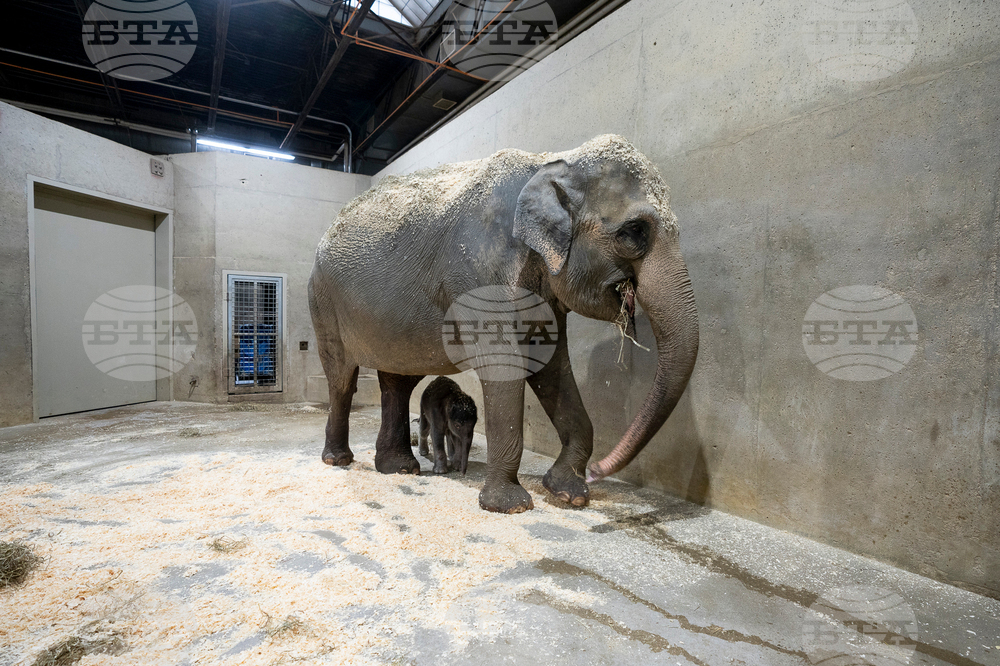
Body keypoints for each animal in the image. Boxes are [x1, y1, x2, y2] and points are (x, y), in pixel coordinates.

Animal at [308, 134, 699, 514]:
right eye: (634, 231)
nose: (597, 472)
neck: (554, 160)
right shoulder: (479, 270)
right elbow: (502, 365)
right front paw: (511, 506)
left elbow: (551, 363)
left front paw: (569, 494)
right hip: (323, 302)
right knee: (342, 379)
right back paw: (339, 460)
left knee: (397, 382)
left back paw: (398, 468)